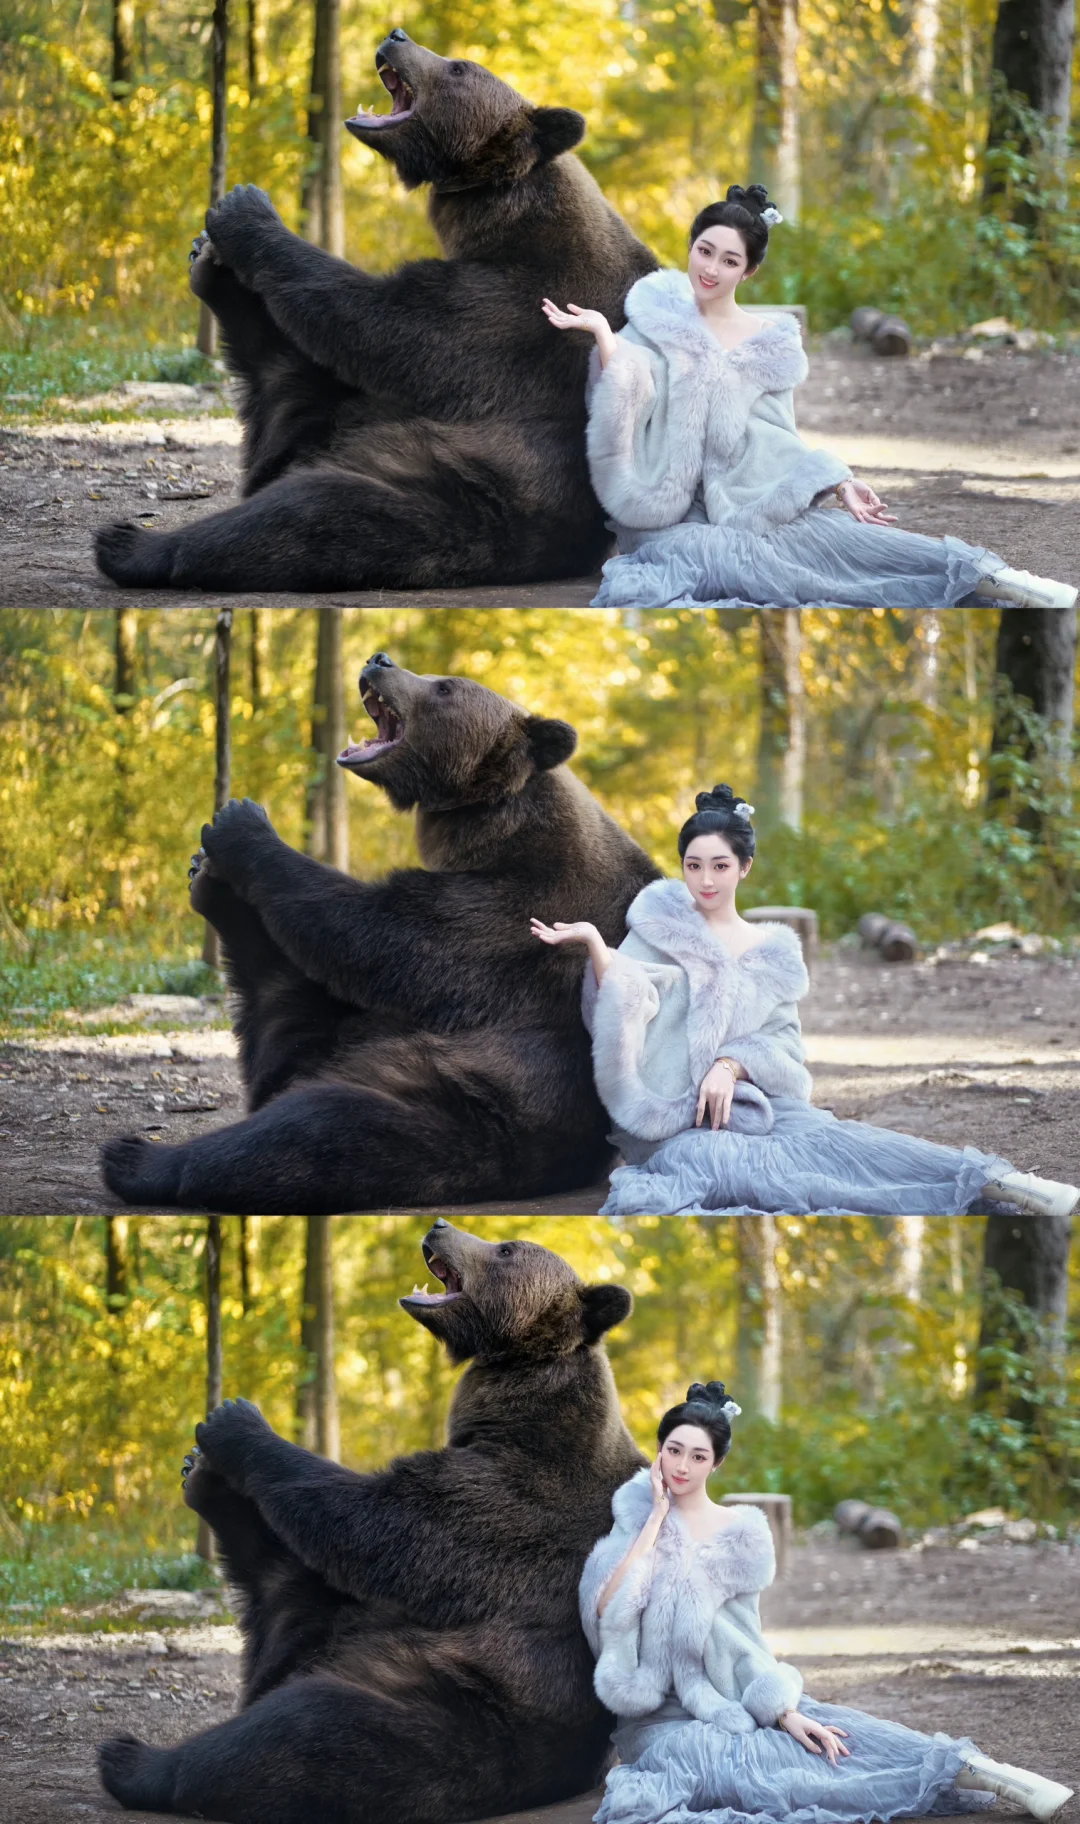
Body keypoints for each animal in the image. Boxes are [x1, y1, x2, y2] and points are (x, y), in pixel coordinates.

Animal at [93, 30, 657, 593]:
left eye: (457, 67)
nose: (396, 35)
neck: (505, 213)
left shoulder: (525, 304)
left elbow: (394, 325)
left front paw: (245, 209)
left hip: (457, 493)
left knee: (310, 514)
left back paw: (130, 544)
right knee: (286, 386)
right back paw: (213, 277)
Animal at [97, 1218, 646, 1823]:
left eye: (505, 1249)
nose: (439, 1225)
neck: (519, 1401)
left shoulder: (517, 1500)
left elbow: (382, 1521)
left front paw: (235, 1422)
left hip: (453, 1713)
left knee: (300, 1731)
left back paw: (132, 1759)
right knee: (283, 1592)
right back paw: (208, 1487)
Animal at [100, 652, 660, 1214]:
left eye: (444, 687)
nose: (379, 660)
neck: (495, 826)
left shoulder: (523, 910)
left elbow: (386, 933)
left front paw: (242, 824)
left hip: (469, 1107)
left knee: (316, 1130)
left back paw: (136, 1157)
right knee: (284, 1015)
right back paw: (214, 892)